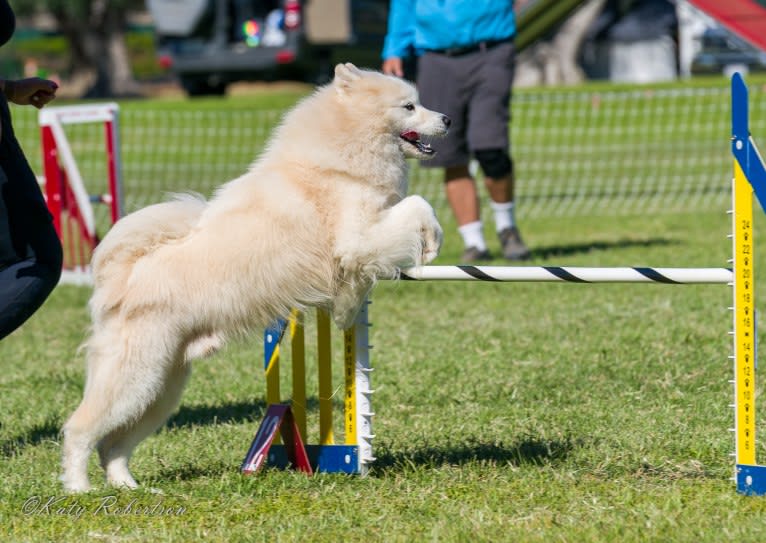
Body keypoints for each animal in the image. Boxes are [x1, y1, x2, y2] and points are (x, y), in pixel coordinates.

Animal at [63, 62, 452, 492]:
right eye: (409, 106)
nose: (448, 119)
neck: (338, 155)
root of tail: (123, 275)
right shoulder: (358, 236)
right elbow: (417, 205)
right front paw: (432, 242)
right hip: (134, 377)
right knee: (79, 430)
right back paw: (79, 488)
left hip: (161, 387)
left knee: (113, 446)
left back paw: (130, 488)